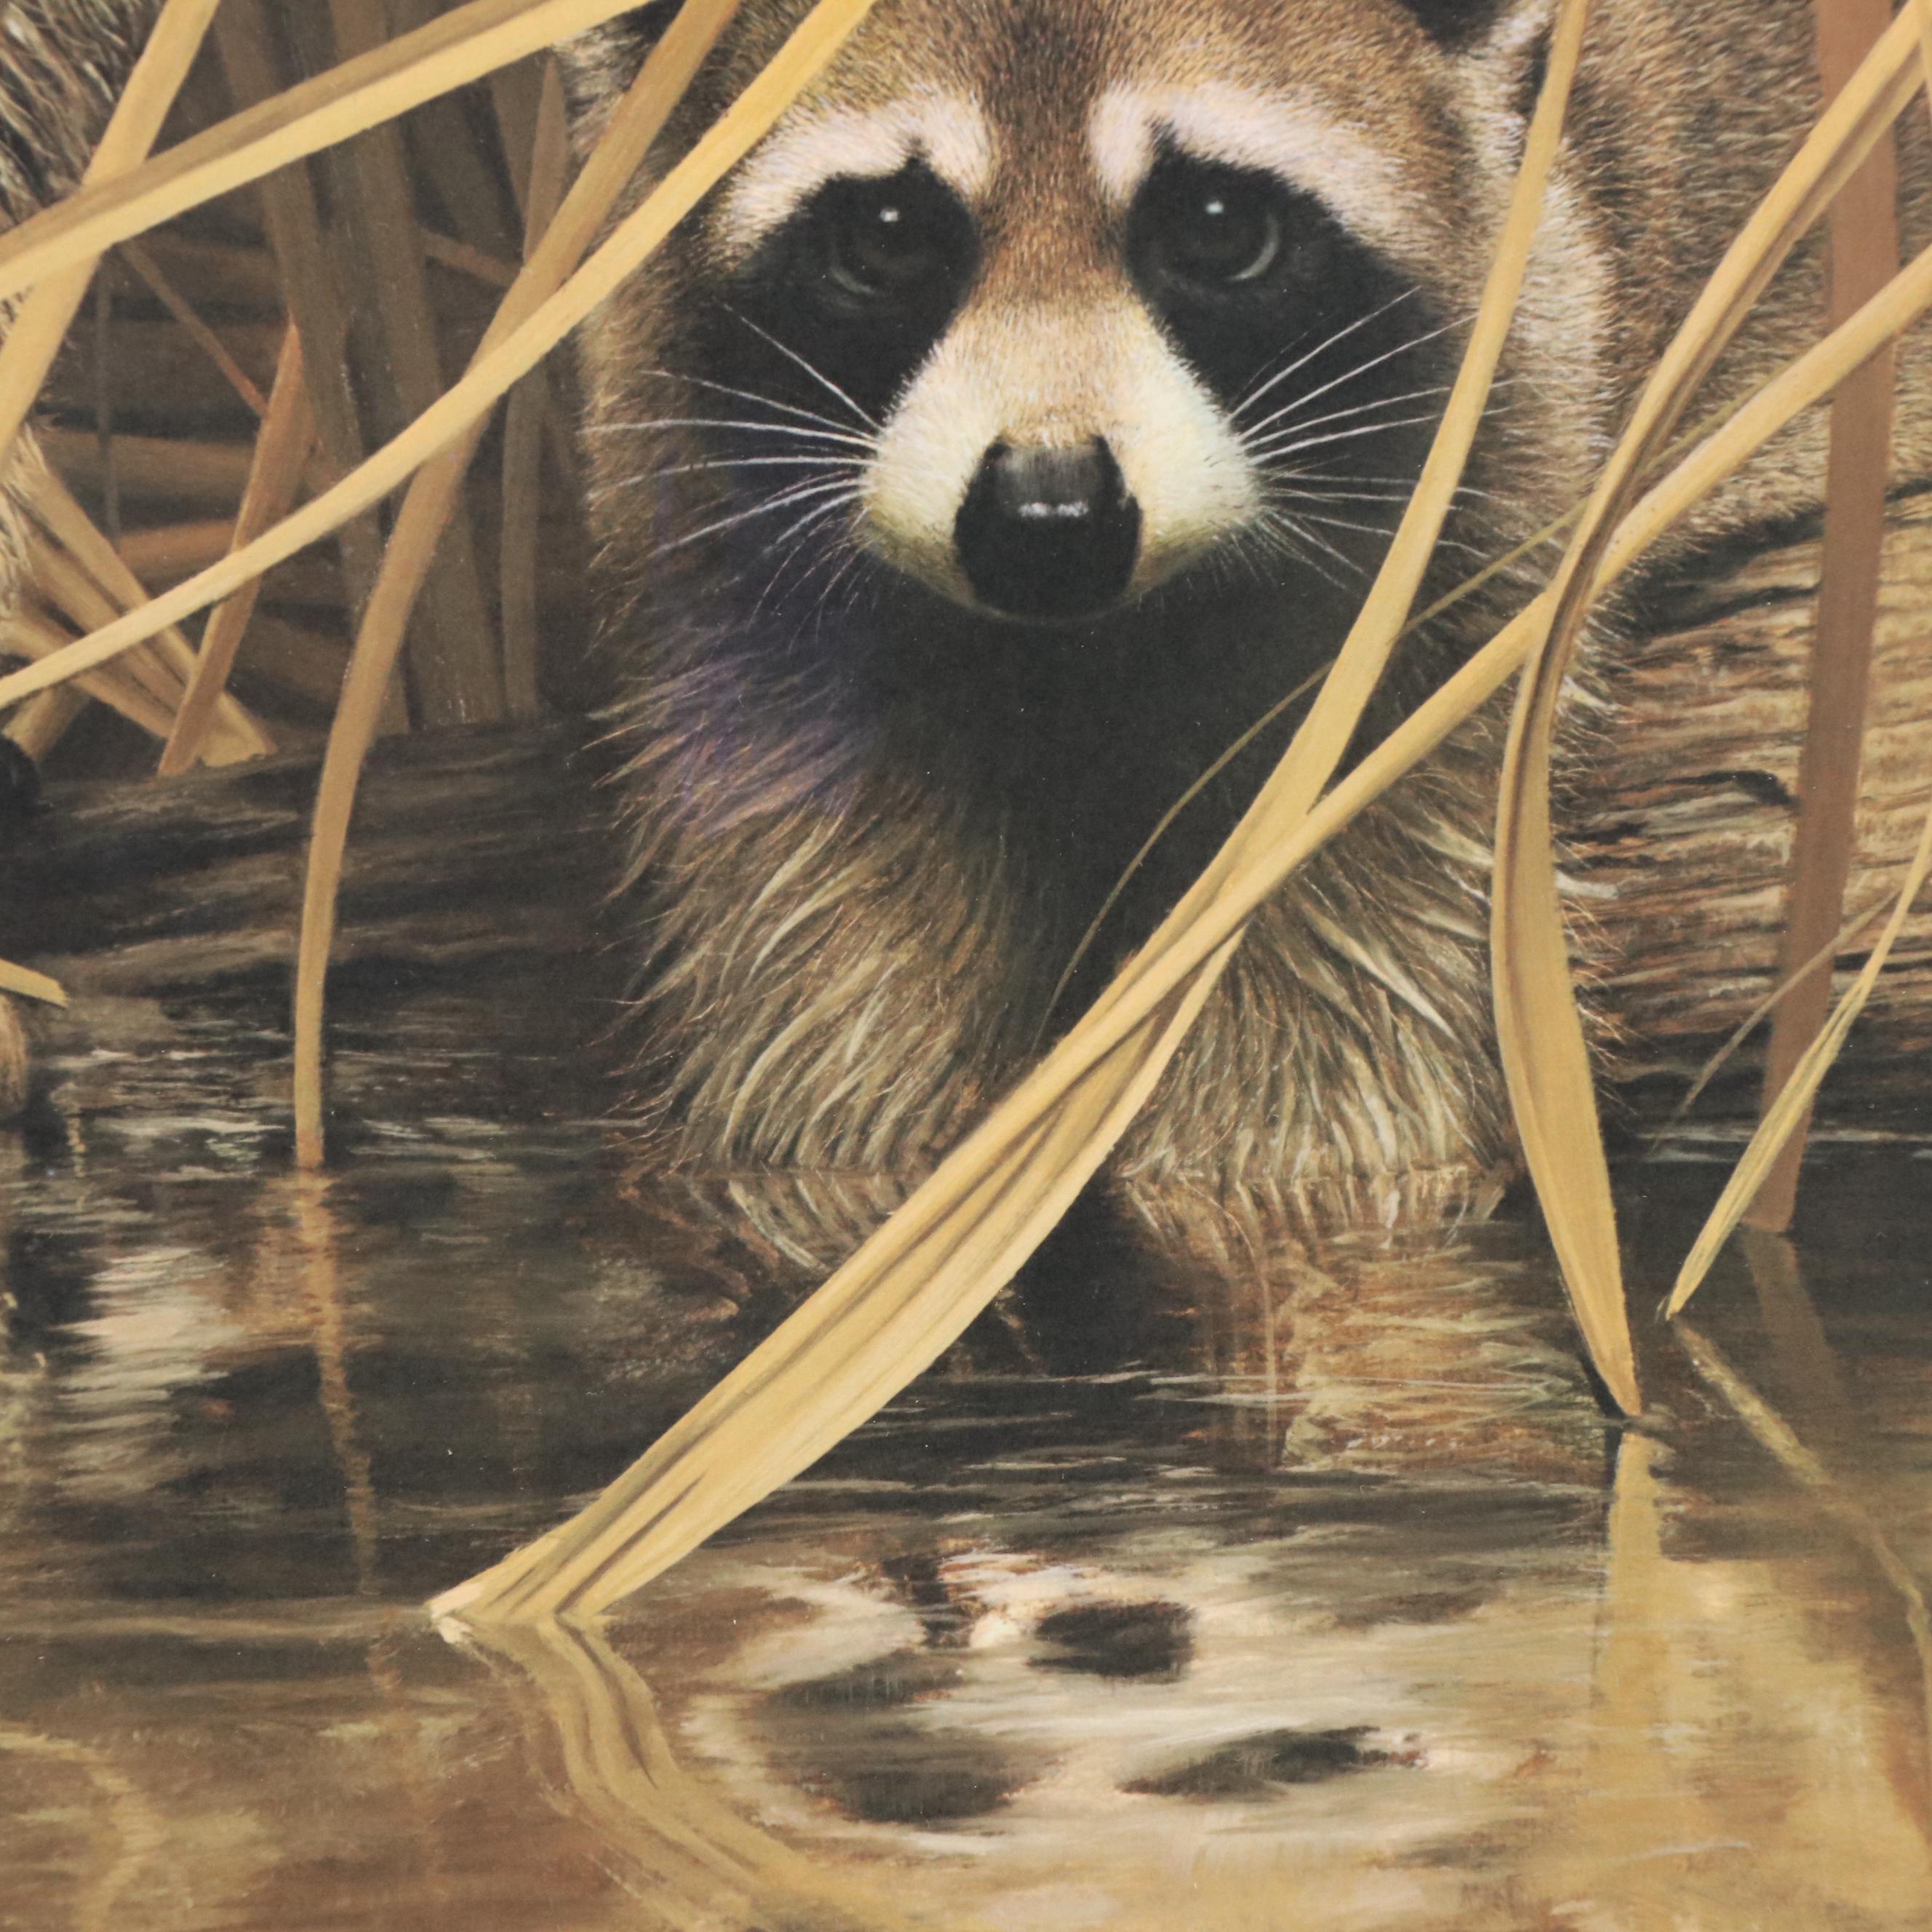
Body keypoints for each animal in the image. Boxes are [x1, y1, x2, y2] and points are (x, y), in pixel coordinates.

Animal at [564, 0, 1932, 1220]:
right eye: (888, 235)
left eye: (1218, 227)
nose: (1048, 518)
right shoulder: (730, 591)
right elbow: (818, 1023)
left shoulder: (1470, 536)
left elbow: (1333, 1074)